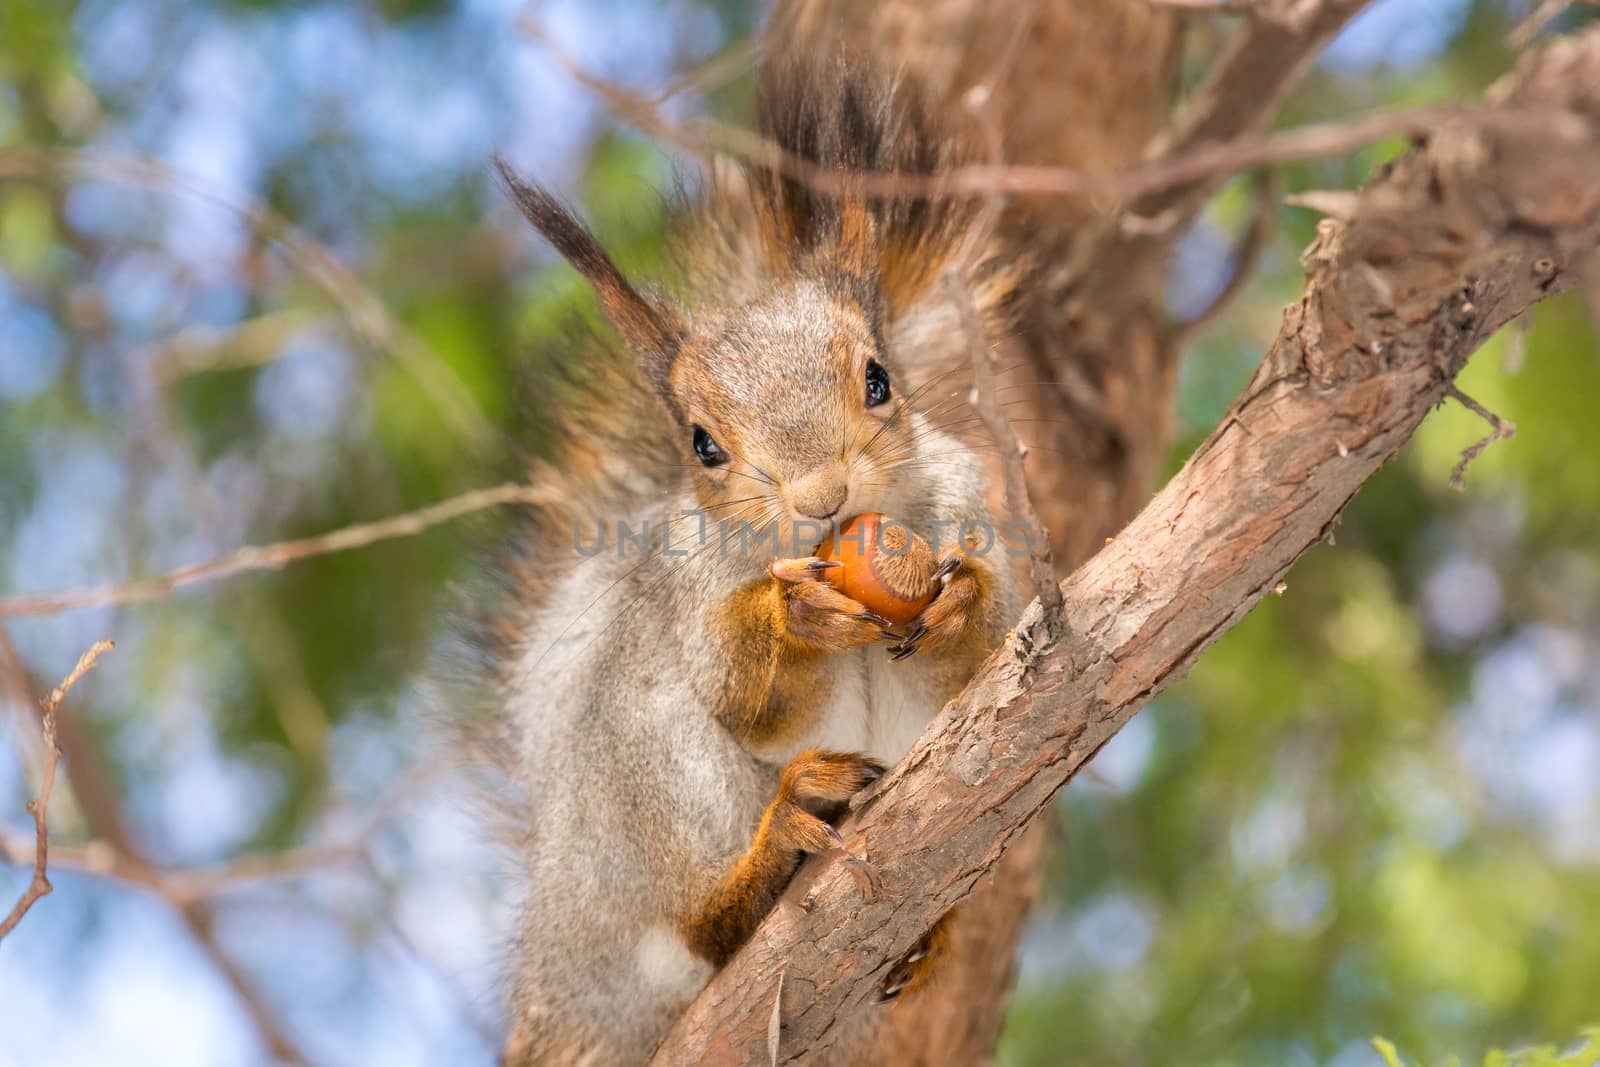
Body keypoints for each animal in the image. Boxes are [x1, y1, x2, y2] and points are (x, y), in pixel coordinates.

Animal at [467, 51, 1030, 1067]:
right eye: (702, 445)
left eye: (879, 379)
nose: (821, 497)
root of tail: (562, 987)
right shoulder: (690, 588)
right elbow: (742, 691)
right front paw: (795, 617)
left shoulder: (968, 502)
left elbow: (978, 656)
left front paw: (963, 600)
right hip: (649, 781)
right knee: (695, 924)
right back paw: (769, 855)